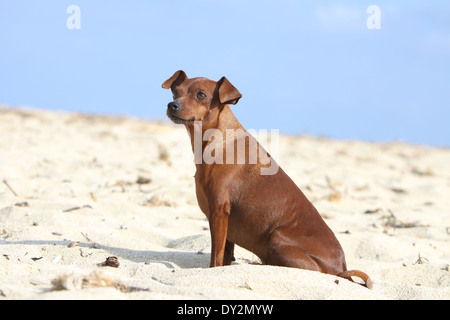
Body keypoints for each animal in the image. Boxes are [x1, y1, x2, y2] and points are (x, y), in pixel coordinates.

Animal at [162, 70, 372, 290]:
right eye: (175, 92)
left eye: (201, 95)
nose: (172, 105)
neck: (217, 142)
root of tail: (341, 268)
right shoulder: (226, 220)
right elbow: (225, 257)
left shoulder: (219, 212)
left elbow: (216, 257)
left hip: (277, 237)